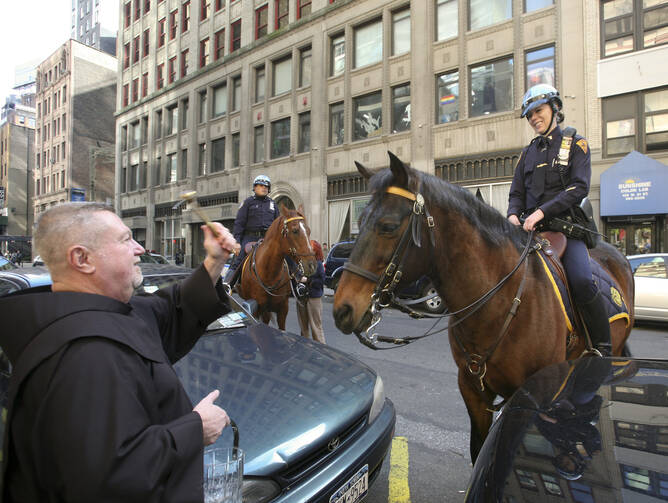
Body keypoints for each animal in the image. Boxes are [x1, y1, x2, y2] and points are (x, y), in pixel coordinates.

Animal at [334, 151, 636, 464]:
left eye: (388, 226)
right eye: (359, 221)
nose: (342, 308)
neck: (496, 305)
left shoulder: (526, 399)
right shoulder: (474, 392)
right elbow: (478, 451)